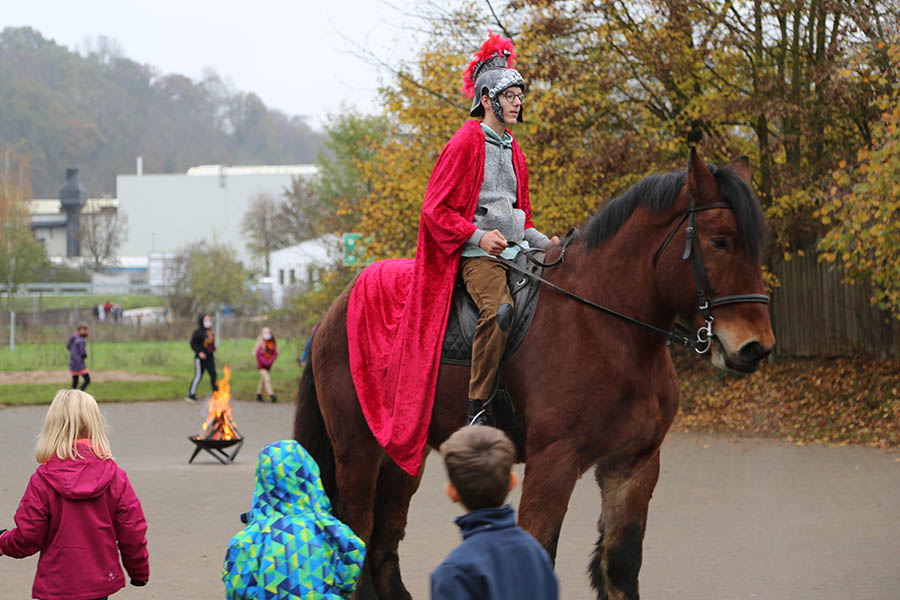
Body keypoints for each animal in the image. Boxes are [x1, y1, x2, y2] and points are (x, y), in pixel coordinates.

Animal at [294, 148, 772, 596]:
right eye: (720, 241)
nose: (755, 347)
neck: (606, 326)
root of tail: (334, 312)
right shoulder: (553, 462)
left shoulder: (633, 465)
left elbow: (620, 565)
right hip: (358, 449)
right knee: (356, 531)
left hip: (404, 454)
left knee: (382, 543)